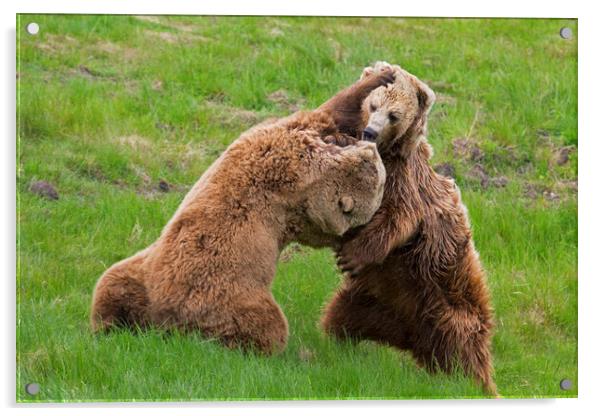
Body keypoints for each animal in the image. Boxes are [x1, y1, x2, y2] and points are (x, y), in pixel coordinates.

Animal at [86, 71, 392, 354]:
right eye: (380, 181)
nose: (373, 142)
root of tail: (165, 321)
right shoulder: (297, 172)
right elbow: (331, 109)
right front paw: (381, 77)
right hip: (230, 296)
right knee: (265, 325)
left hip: (138, 274)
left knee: (110, 286)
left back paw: (110, 324)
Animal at [318, 62, 496, 396]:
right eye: (374, 105)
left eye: (394, 115)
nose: (370, 132)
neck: (385, 153)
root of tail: (412, 338)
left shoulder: (404, 182)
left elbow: (398, 217)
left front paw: (351, 256)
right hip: (369, 302)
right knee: (339, 317)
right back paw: (335, 343)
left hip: (452, 305)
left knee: (466, 355)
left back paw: (475, 385)